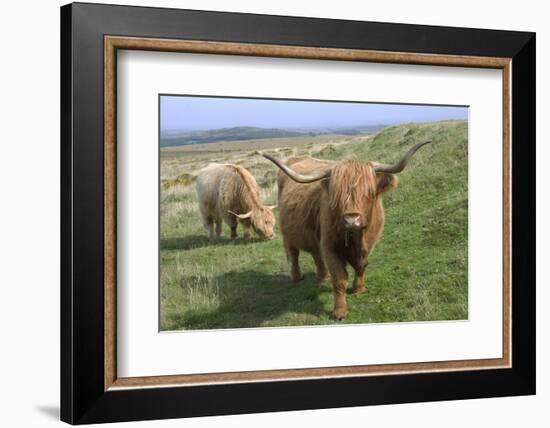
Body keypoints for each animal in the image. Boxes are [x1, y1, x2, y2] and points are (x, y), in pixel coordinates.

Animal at [266, 142, 434, 320]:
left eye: (369, 193)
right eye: (337, 195)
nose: (352, 220)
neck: (357, 238)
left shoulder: (369, 243)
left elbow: (361, 266)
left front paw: (359, 289)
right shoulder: (330, 246)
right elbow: (339, 278)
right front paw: (340, 311)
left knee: (316, 254)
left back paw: (323, 277)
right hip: (287, 233)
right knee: (293, 253)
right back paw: (297, 277)